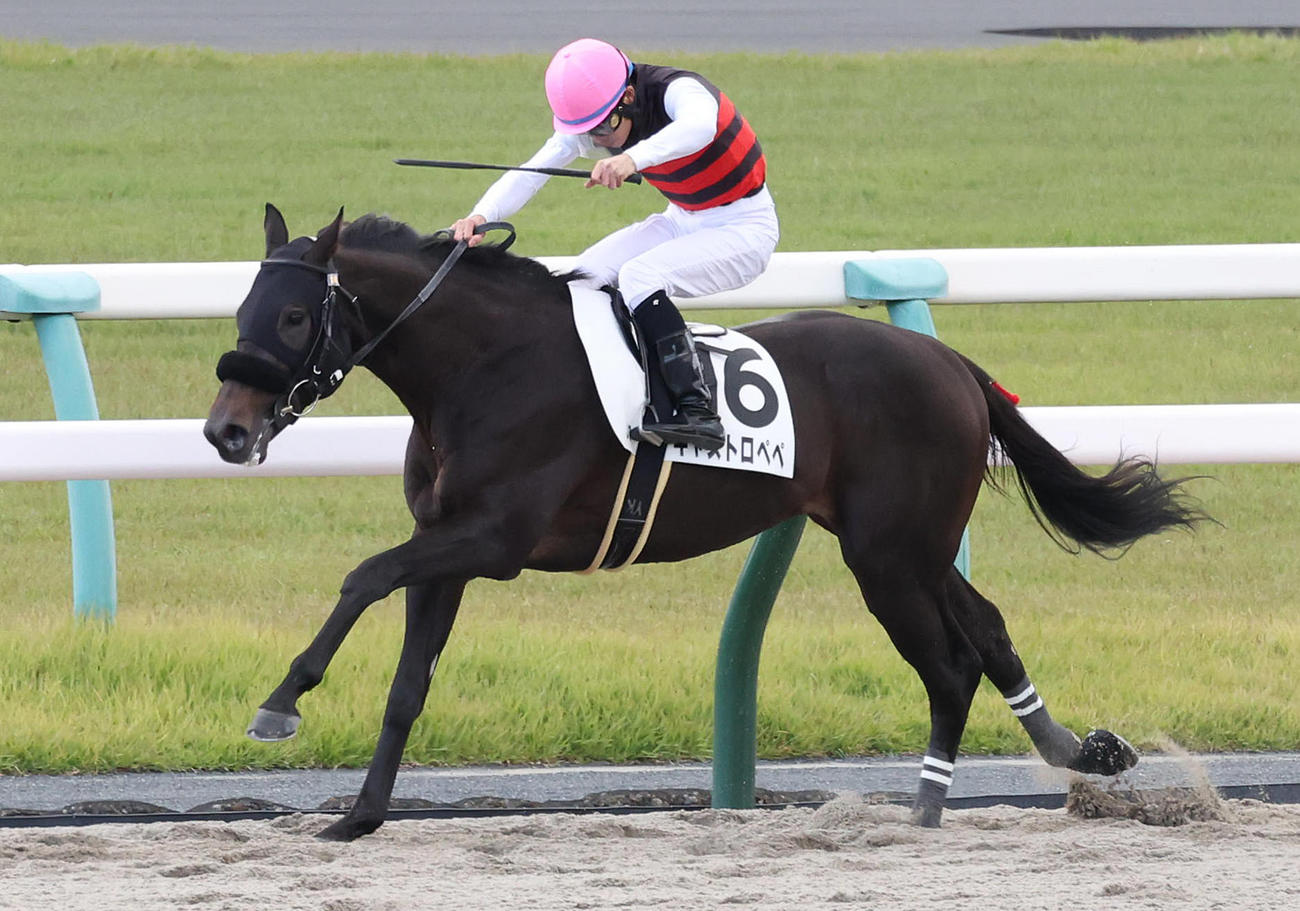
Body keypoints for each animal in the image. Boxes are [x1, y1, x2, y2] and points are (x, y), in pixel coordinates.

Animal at [204, 205, 1204, 842]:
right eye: (244, 308)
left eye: (291, 315)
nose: (225, 431)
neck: (485, 366)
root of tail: (951, 361)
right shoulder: (446, 549)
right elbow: (408, 682)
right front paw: (360, 814)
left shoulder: (494, 541)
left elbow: (363, 574)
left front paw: (281, 702)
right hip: (908, 544)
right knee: (988, 628)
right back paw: (1077, 749)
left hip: (888, 554)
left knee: (951, 662)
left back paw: (924, 808)